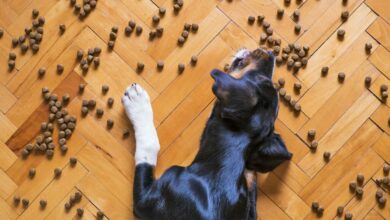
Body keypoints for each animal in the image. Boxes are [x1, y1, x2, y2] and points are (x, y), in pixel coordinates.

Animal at [122, 48, 292, 220]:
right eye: (266, 81)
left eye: (261, 80)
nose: (270, 53)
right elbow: (250, 181)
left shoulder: (145, 201)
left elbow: (148, 148)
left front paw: (137, 102)